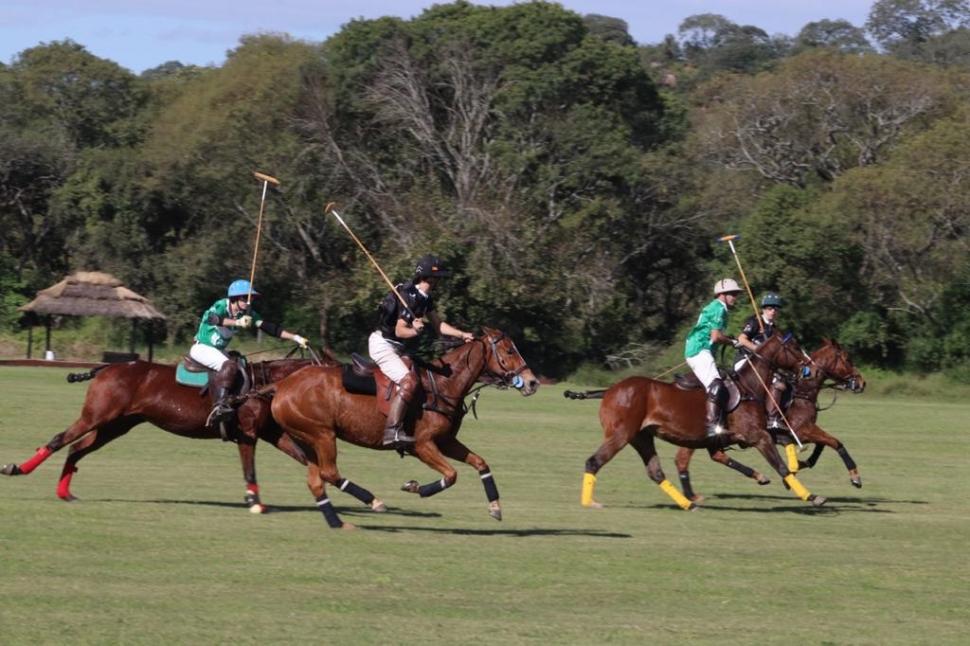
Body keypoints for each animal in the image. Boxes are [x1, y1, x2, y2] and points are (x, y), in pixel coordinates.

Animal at [0, 356, 356, 512]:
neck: (265, 383)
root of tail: (106, 367)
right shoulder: (247, 435)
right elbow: (250, 469)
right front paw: (255, 502)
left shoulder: (271, 434)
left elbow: (306, 459)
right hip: (97, 415)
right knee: (60, 439)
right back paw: (16, 468)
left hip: (116, 425)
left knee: (77, 449)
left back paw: (65, 492)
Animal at [266, 330, 536, 532]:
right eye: (509, 351)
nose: (532, 382)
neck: (443, 384)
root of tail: (281, 386)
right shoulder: (422, 445)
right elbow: (451, 475)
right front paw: (415, 487)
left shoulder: (446, 441)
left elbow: (480, 463)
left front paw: (495, 508)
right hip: (323, 435)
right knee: (329, 473)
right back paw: (374, 501)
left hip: (308, 439)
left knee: (316, 481)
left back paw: (337, 522)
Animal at [568, 334, 824, 512]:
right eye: (794, 346)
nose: (810, 369)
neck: (750, 387)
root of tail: (609, 391)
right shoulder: (756, 435)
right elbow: (779, 465)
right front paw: (812, 496)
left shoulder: (730, 438)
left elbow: (780, 442)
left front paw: (775, 475)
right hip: (621, 434)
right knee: (594, 461)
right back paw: (590, 503)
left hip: (642, 437)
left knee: (656, 472)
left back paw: (688, 504)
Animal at [668, 342, 864, 504]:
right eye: (848, 359)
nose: (862, 383)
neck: (802, 391)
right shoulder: (802, 430)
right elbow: (835, 443)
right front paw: (855, 477)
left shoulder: (790, 434)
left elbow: (821, 446)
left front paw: (798, 468)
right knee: (683, 459)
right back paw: (691, 496)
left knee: (715, 455)